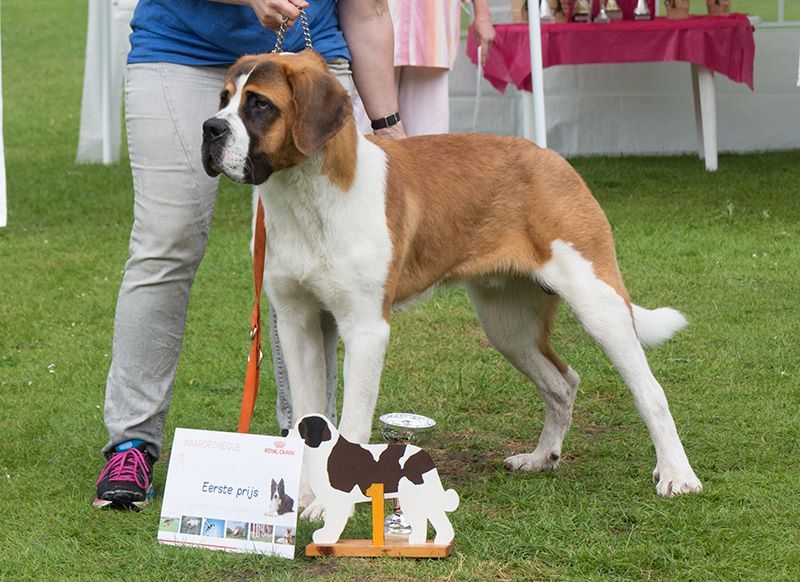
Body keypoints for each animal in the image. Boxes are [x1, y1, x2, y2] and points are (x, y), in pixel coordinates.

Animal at [200, 50, 700, 502]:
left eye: (259, 104)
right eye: (223, 99)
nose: (210, 128)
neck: (306, 194)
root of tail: (553, 159)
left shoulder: (366, 329)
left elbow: (354, 422)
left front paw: (331, 507)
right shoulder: (297, 322)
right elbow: (309, 421)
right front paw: (306, 497)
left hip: (598, 303)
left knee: (650, 392)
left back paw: (677, 475)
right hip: (508, 325)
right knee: (563, 382)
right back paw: (542, 457)